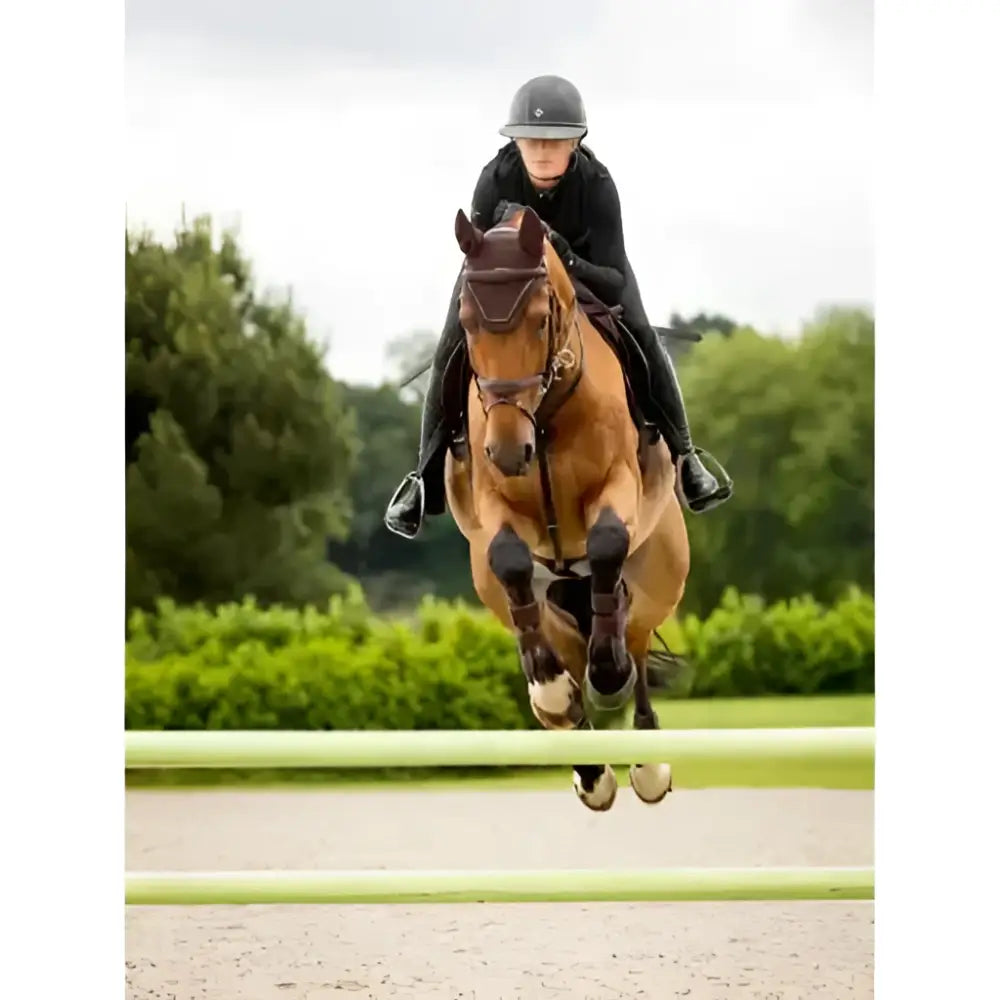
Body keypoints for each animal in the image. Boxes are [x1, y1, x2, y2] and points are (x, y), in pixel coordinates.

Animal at [442, 205, 691, 811]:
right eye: (467, 322)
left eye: (539, 320)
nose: (510, 451)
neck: (547, 410)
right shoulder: (492, 504)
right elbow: (509, 559)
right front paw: (552, 694)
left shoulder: (617, 483)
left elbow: (605, 542)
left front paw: (608, 675)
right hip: (523, 598)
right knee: (552, 639)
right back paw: (588, 764)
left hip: (657, 576)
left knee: (633, 639)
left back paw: (644, 757)